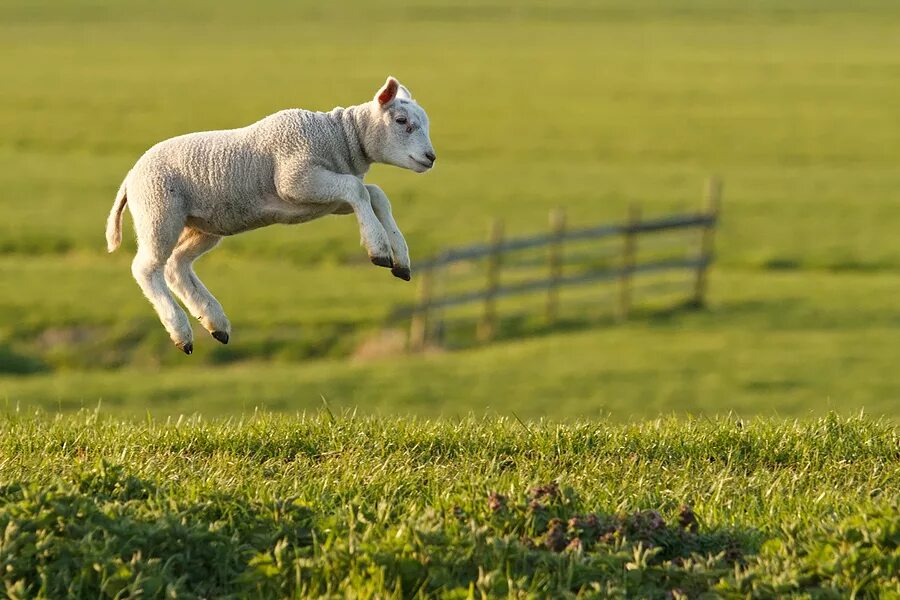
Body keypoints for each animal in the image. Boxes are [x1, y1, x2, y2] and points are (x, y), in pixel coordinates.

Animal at [105, 77, 436, 354]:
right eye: (402, 121)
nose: (431, 157)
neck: (338, 137)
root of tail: (130, 177)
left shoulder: (323, 199)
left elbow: (374, 194)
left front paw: (401, 259)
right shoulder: (296, 179)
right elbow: (359, 189)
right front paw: (378, 249)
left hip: (203, 225)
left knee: (177, 265)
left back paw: (215, 323)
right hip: (159, 211)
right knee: (147, 268)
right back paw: (181, 331)